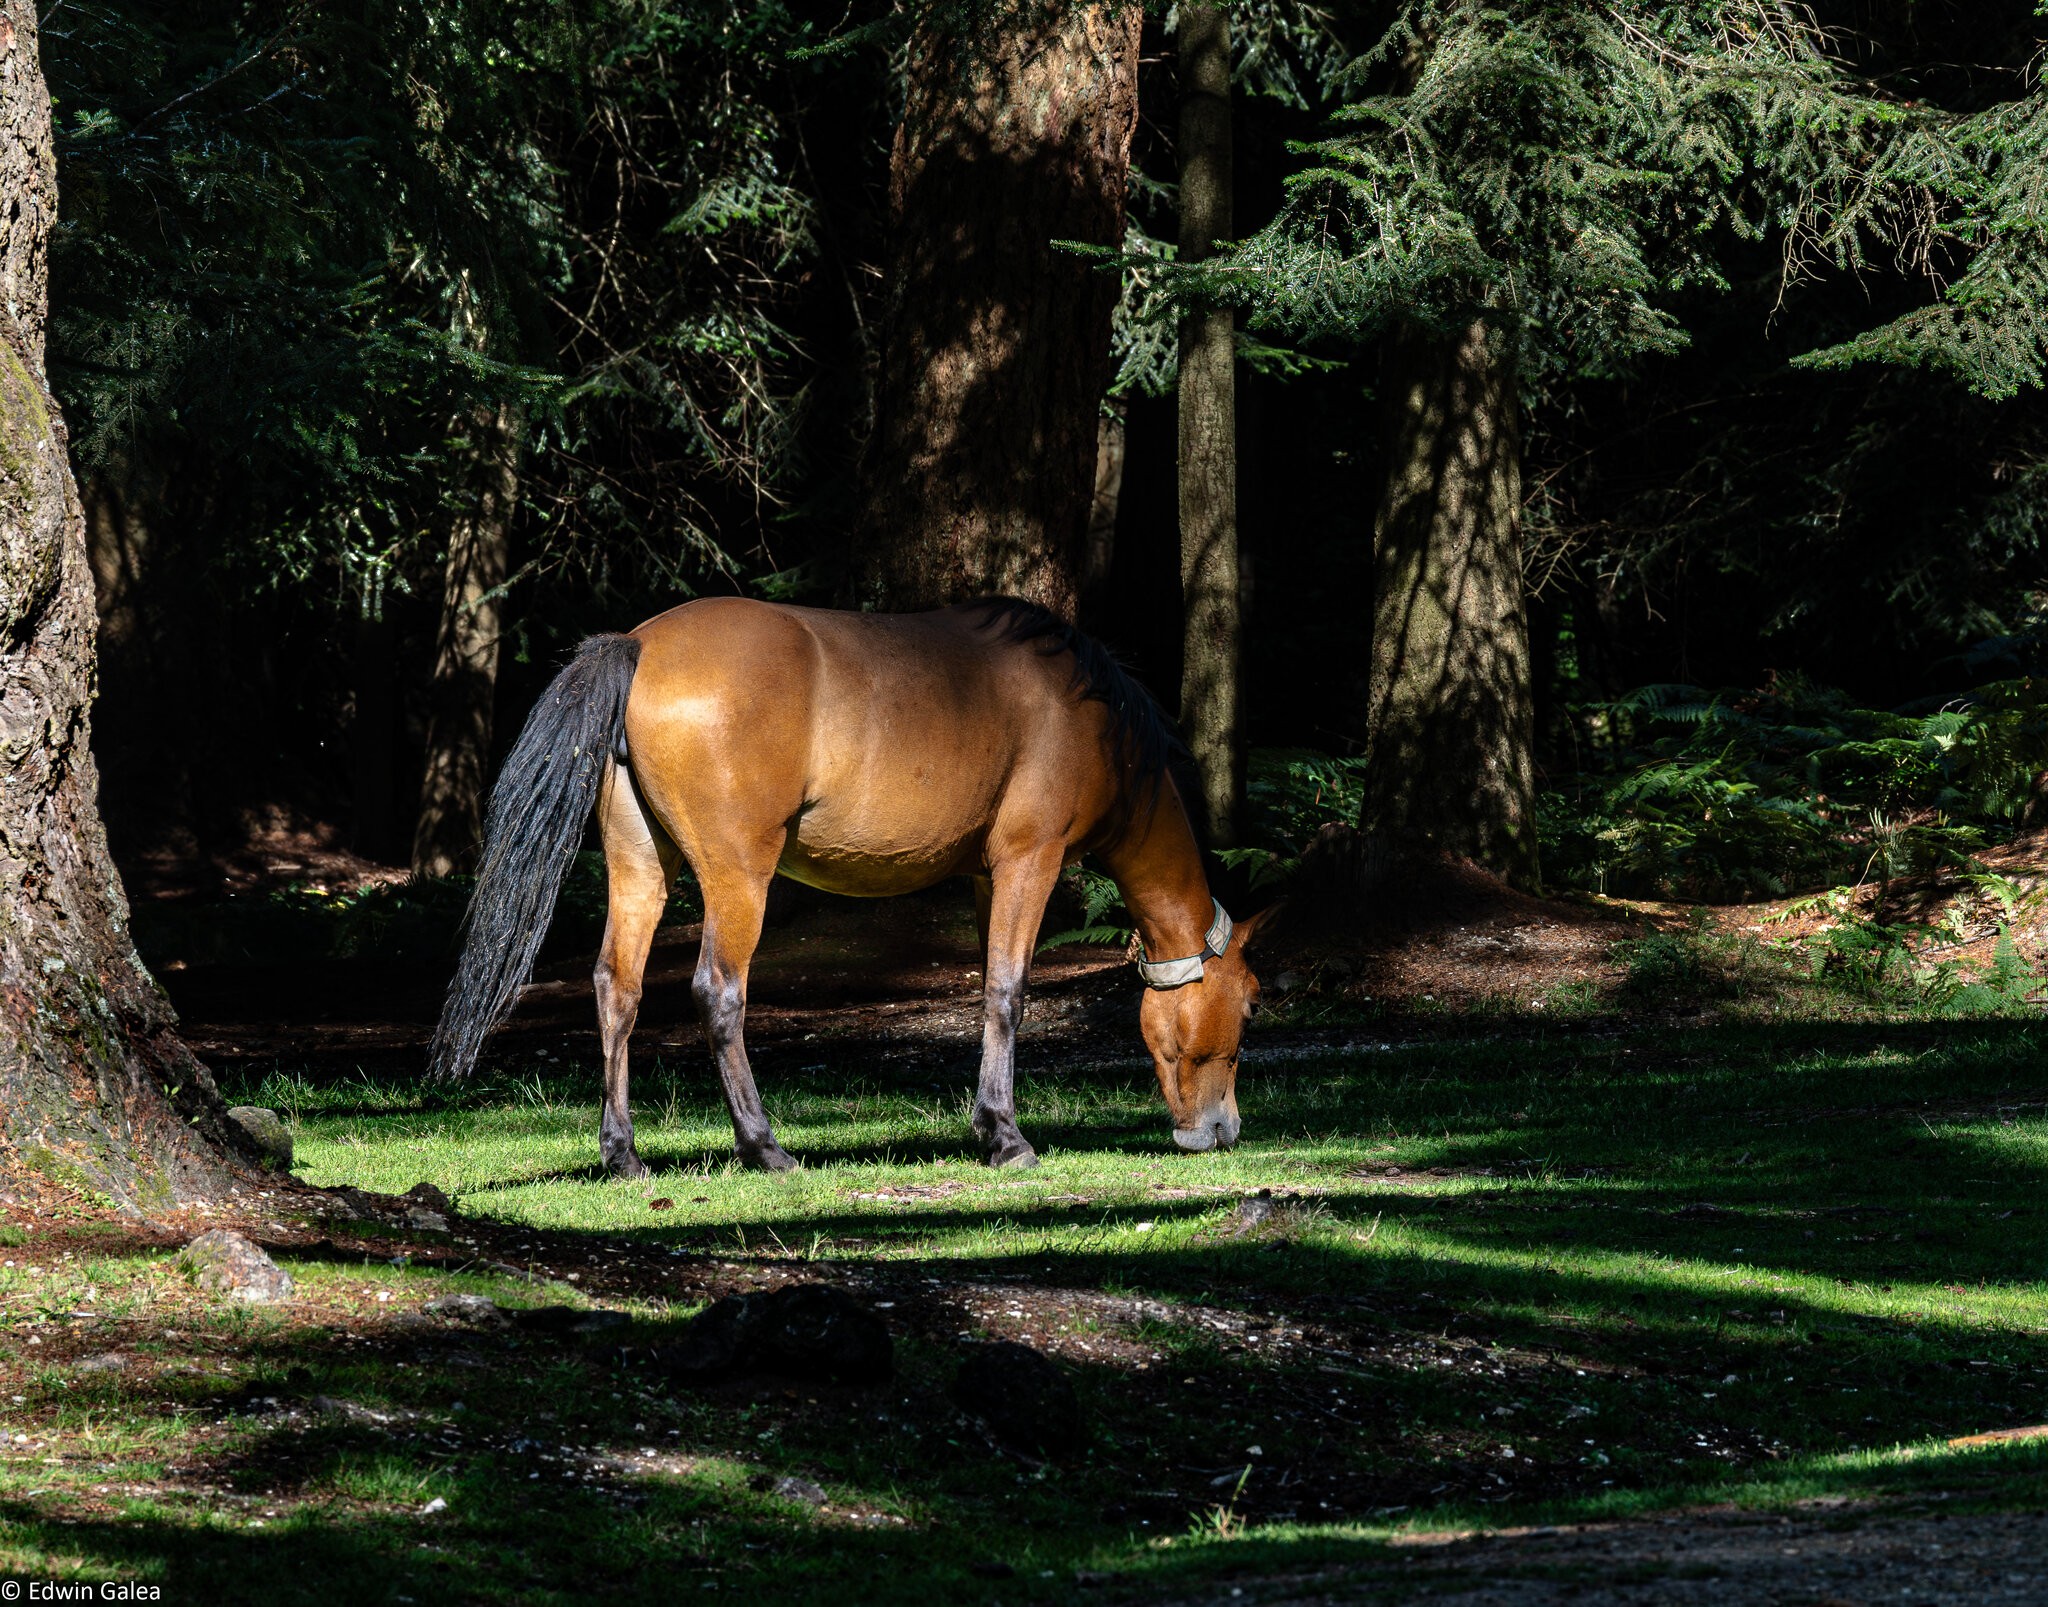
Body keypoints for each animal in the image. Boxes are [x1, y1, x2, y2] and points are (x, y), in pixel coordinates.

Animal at [430, 593, 1261, 1170]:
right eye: (1251, 1003)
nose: (1222, 1129)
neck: (1087, 716)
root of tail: (640, 642)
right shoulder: (1031, 860)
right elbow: (1007, 992)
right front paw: (1005, 1135)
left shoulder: (988, 877)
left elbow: (988, 990)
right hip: (738, 876)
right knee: (718, 990)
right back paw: (763, 1145)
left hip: (642, 867)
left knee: (617, 989)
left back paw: (623, 1152)